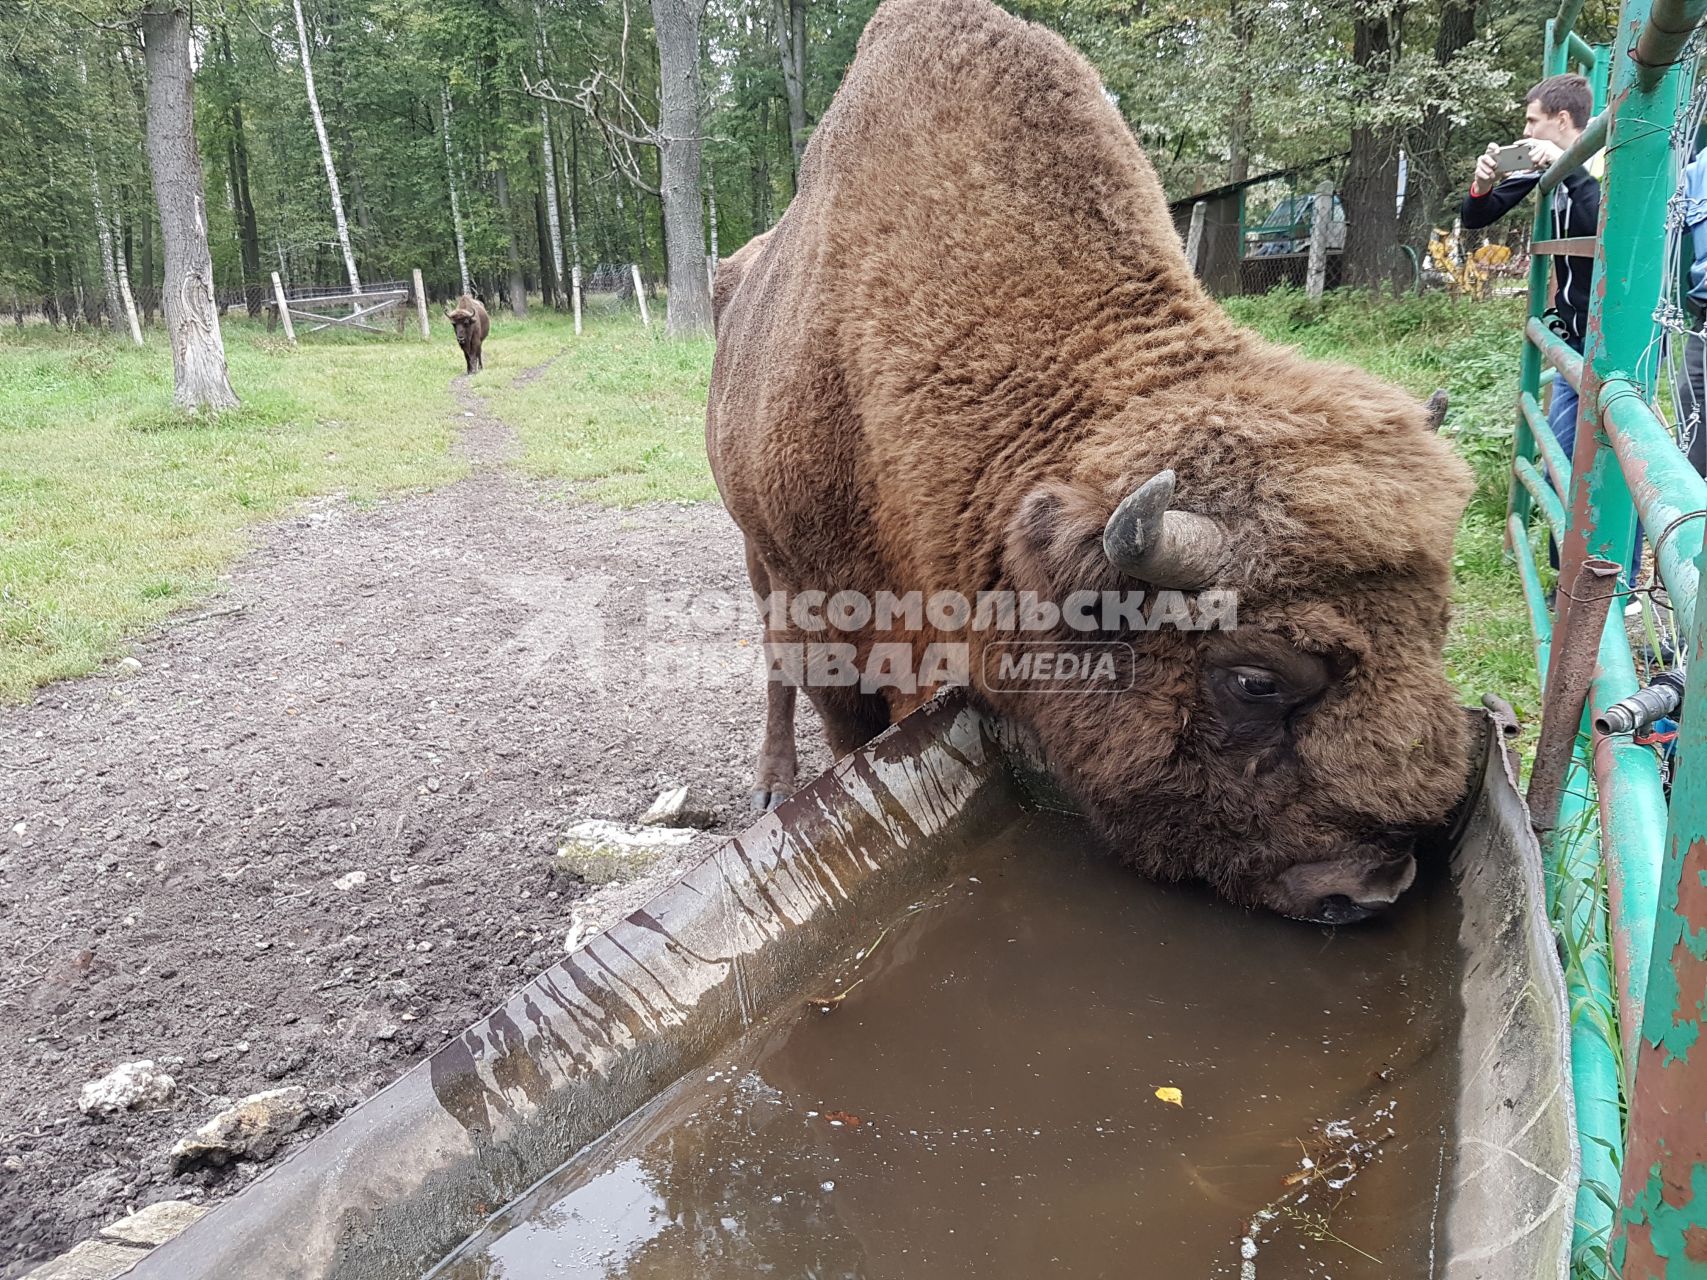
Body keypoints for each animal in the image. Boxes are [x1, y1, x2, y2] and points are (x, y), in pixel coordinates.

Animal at [699, 0, 1474, 928]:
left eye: (1439, 628)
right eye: (1254, 679)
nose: (1368, 888)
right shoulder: (823, 598)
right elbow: (847, 724)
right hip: (756, 554)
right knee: (774, 667)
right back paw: (773, 786)